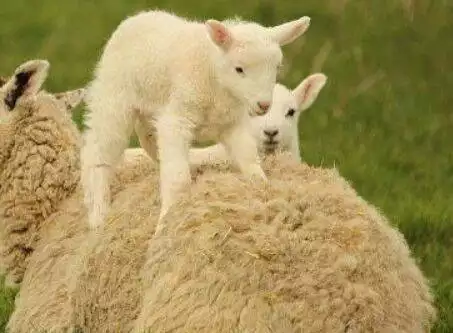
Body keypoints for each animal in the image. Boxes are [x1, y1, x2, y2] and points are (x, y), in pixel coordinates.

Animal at [81, 7, 310, 232]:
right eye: (239, 69)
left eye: (277, 67)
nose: (263, 105)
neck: (214, 76)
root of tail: (138, 16)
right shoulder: (177, 121)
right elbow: (178, 178)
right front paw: (166, 222)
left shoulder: (232, 124)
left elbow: (248, 157)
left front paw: (261, 186)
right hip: (114, 98)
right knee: (99, 152)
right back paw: (98, 214)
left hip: (150, 111)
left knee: (151, 145)